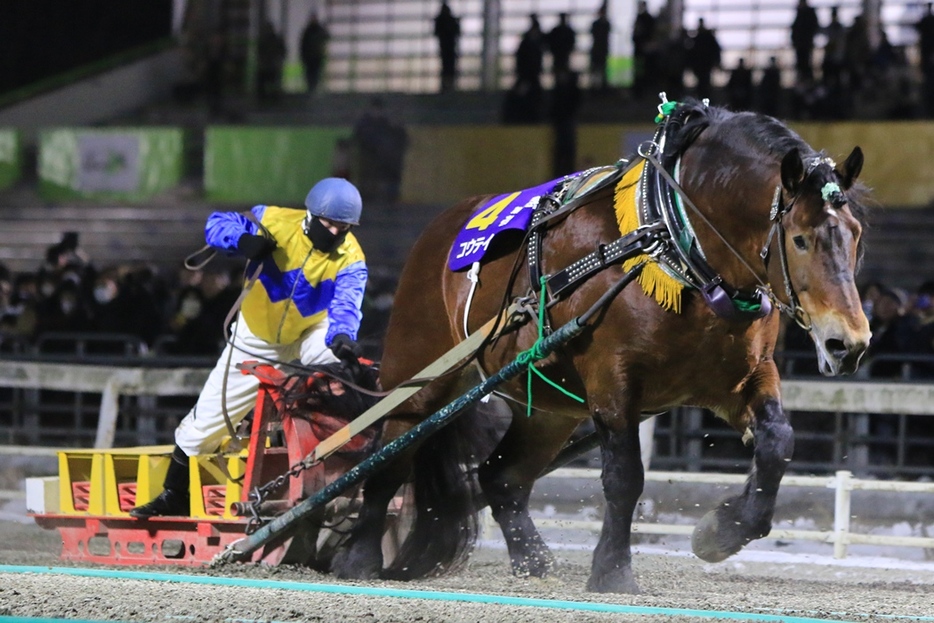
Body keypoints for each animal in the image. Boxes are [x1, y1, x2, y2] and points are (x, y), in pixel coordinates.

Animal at [332, 98, 872, 596]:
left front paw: (721, 531)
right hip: (420, 380)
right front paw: (612, 570)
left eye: (855, 236)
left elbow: (777, 442)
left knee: (501, 477)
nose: (849, 343)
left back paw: (533, 561)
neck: (672, 243)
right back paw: (357, 557)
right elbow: (625, 477)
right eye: (799, 239)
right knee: (387, 462)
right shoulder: (613, 381)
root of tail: (439, 230)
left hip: (549, 407)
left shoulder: (741, 377)